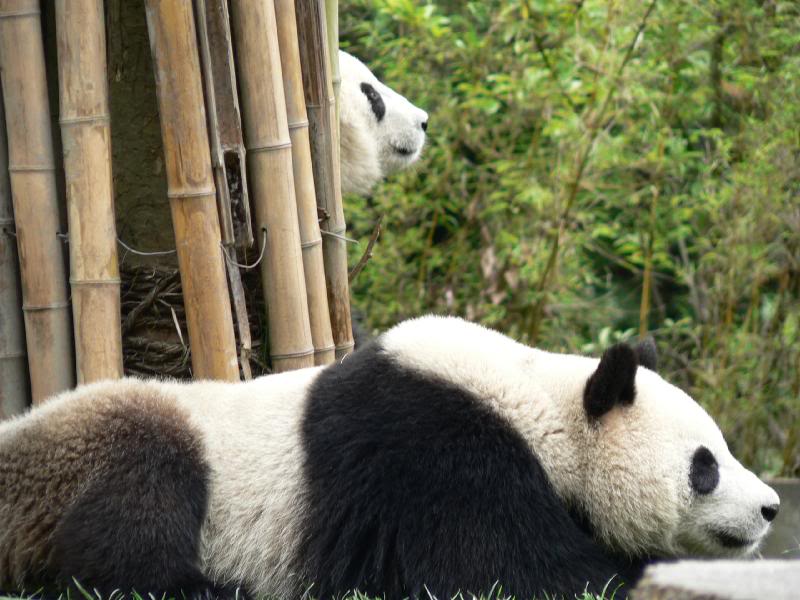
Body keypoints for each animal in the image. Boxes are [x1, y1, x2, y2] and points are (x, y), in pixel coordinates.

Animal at [0, 316, 779, 600]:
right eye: (705, 465)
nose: (772, 507)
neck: (539, 408)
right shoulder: (434, 456)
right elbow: (501, 572)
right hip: (115, 446)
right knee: (133, 527)